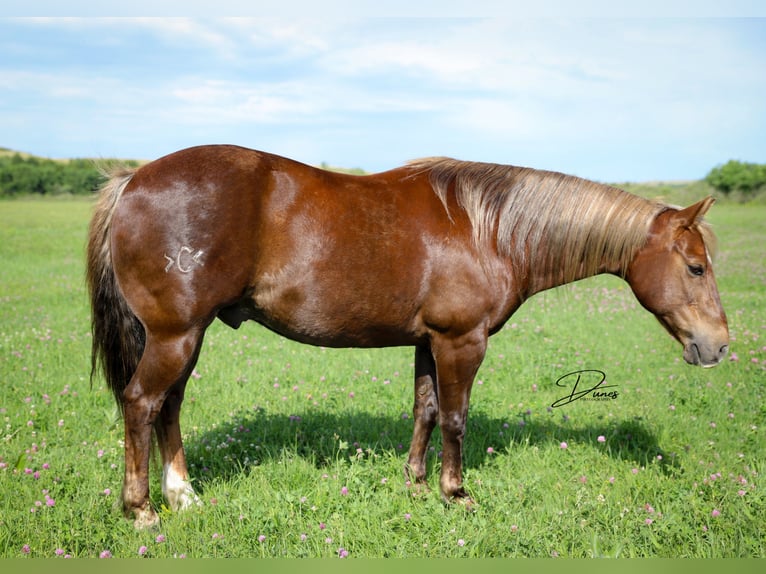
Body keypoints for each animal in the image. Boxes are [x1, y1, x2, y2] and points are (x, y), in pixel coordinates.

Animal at [87, 145, 728, 532]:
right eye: (696, 267)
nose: (719, 345)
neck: (488, 229)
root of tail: (134, 178)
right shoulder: (462, 342)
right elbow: (456, 418)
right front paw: (455, 493)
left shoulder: (429, 341)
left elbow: (425, 410)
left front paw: (417, 486)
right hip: (175, 336)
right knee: (142, 404)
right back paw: (142, 509)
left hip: (186, 337)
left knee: (168, 408)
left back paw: (183, 495)